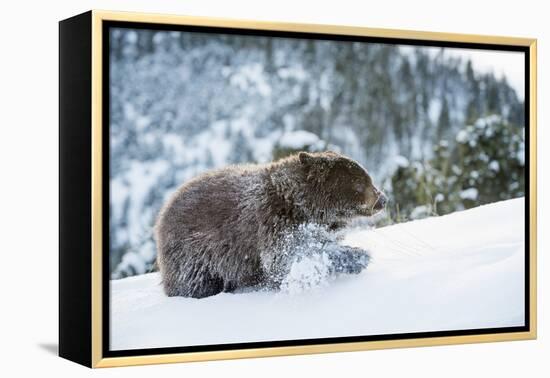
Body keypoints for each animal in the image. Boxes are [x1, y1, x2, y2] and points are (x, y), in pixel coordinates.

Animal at [155, 151, 388, 298]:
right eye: (360, 183)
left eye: (368, 178)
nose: (383, 199)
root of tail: (162, 213)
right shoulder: (274, 221)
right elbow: (285, 259)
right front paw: (358, 256)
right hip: (193, 254)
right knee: (194, 282)